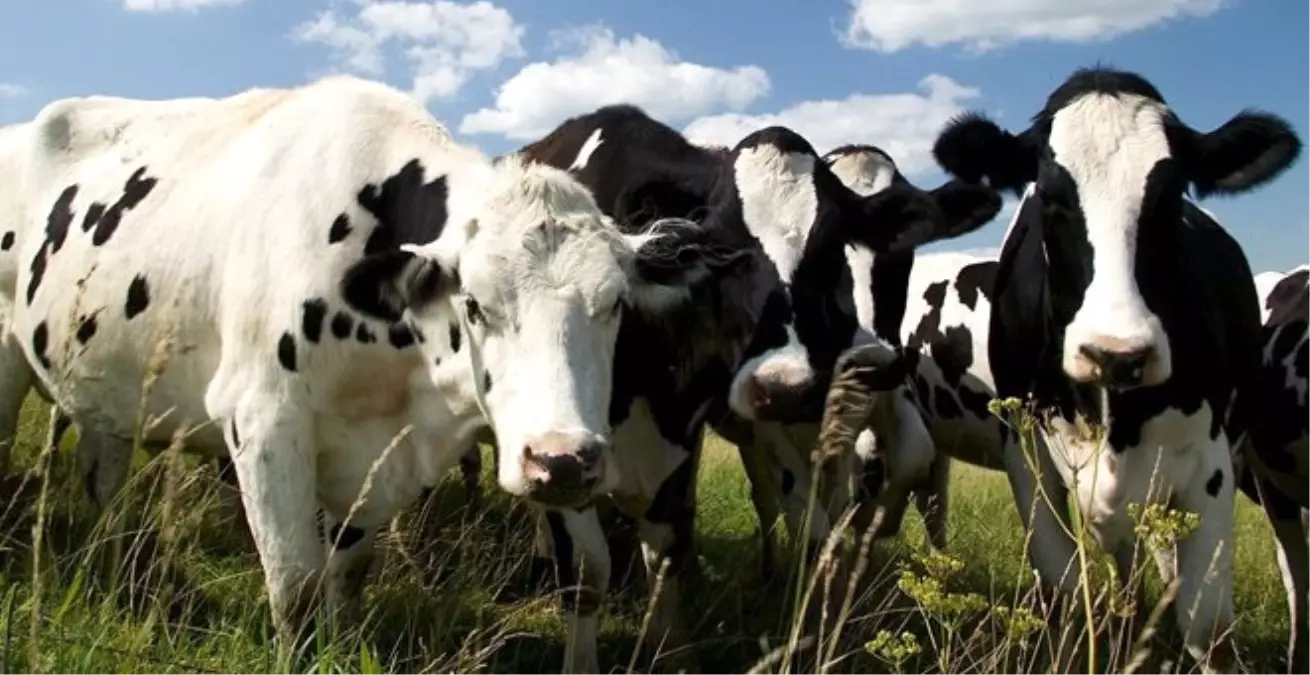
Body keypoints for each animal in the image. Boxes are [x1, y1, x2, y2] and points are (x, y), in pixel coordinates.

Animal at [0, 75, 759, 675]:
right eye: (474, 303)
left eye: (616, 305)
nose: (563, 461)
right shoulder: (264, 422)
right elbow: (297, 588)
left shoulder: (376, 450)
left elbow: (349, 568)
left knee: (102, 476)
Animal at [927, 64, 1304, 675]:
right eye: (1049, 197)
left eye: (1171, 195)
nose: (1116, 354)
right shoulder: (1027, 456)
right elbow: (1062, 591)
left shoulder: (1210, 464)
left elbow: (1209, 627)